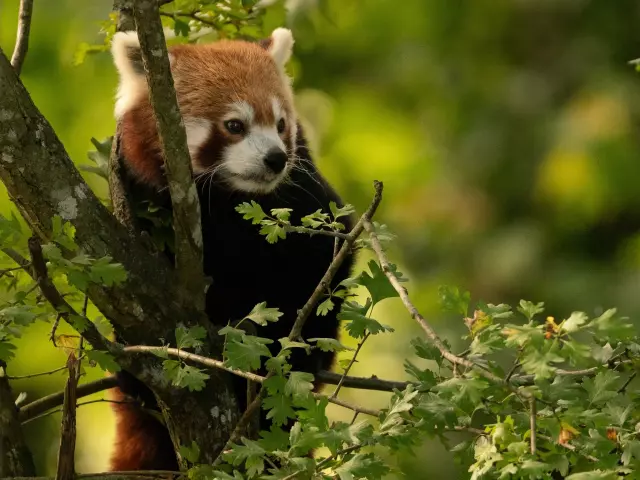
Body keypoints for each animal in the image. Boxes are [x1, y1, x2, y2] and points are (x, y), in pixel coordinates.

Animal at [107, 28, 352, 470]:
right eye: (235, 125)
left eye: (281, 123)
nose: (275, 158)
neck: (225, 202)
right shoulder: (140, 198)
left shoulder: (307, 203)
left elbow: (320, 277)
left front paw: (290, 358)